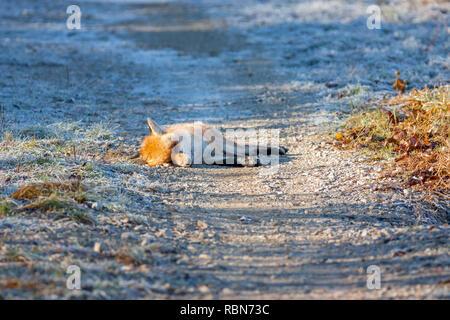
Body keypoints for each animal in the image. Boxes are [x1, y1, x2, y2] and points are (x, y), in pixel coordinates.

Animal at [141, 118, 286, 168]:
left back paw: (278, 149)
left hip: (222, 142)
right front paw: (246, 161)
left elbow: (239, 154)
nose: (188, 163)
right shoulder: (210, 158)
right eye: (169, 161)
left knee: (248, 147)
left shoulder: (214, 147)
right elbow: (232, 160)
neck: (196, 154)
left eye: (176, 148)